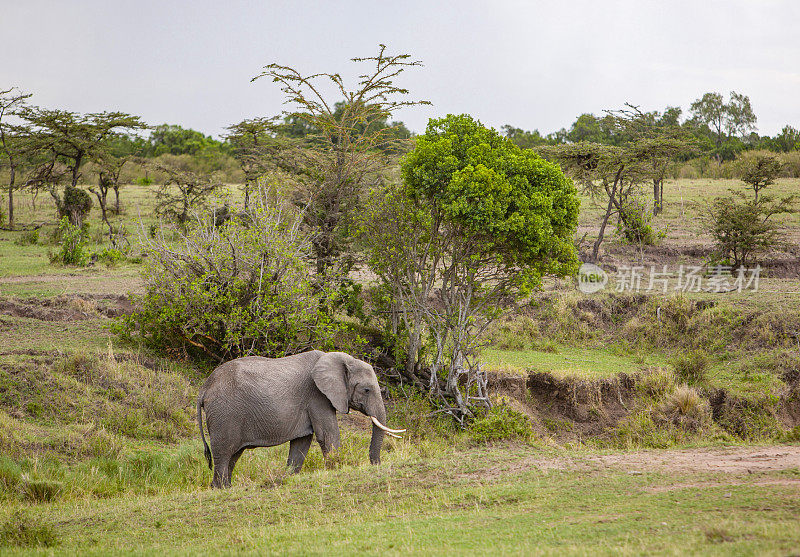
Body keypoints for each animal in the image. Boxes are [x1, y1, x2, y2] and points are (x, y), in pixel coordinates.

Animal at [195, 352, 406, 486]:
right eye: (367, 390)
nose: (376, 464)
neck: (340, 359)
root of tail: (204, 388)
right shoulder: (317, 395)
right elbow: (327, 435)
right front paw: (337, 469)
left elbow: (301, 443)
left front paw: (288, 478)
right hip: (224, 415)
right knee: (223, 454)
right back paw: (223, 489)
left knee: (233, 455)